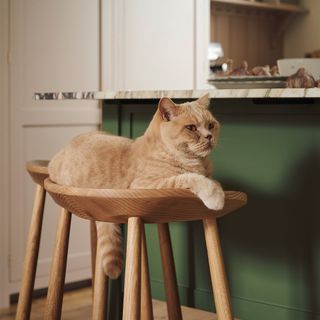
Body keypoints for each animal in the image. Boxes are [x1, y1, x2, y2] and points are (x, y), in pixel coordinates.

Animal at [49, 94, 225, 278]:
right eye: (191, 128)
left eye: (210, 125)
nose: (209, 136)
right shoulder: (148, 185)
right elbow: (191, 178)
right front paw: (216, 197)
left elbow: (211, 180)